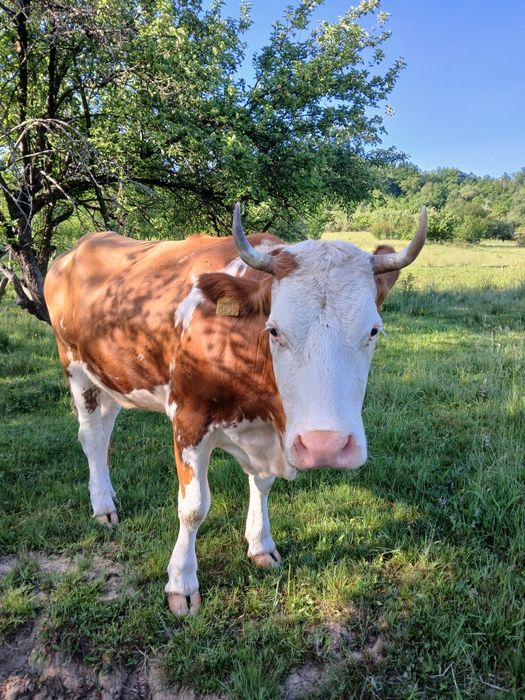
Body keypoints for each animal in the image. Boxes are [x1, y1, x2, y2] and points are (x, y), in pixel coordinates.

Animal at [44, 203, 427, 616]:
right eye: (274, 330)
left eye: (373, 331)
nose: (325, 446)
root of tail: (79, 247)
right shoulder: (188, 419)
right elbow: (193, 507)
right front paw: (182, 583)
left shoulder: (266, 433)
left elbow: (262, 484)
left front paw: (261, 545)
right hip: (75, 366)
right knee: (92, 437)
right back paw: (102, 506)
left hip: (113, 376)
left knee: (106, 430)